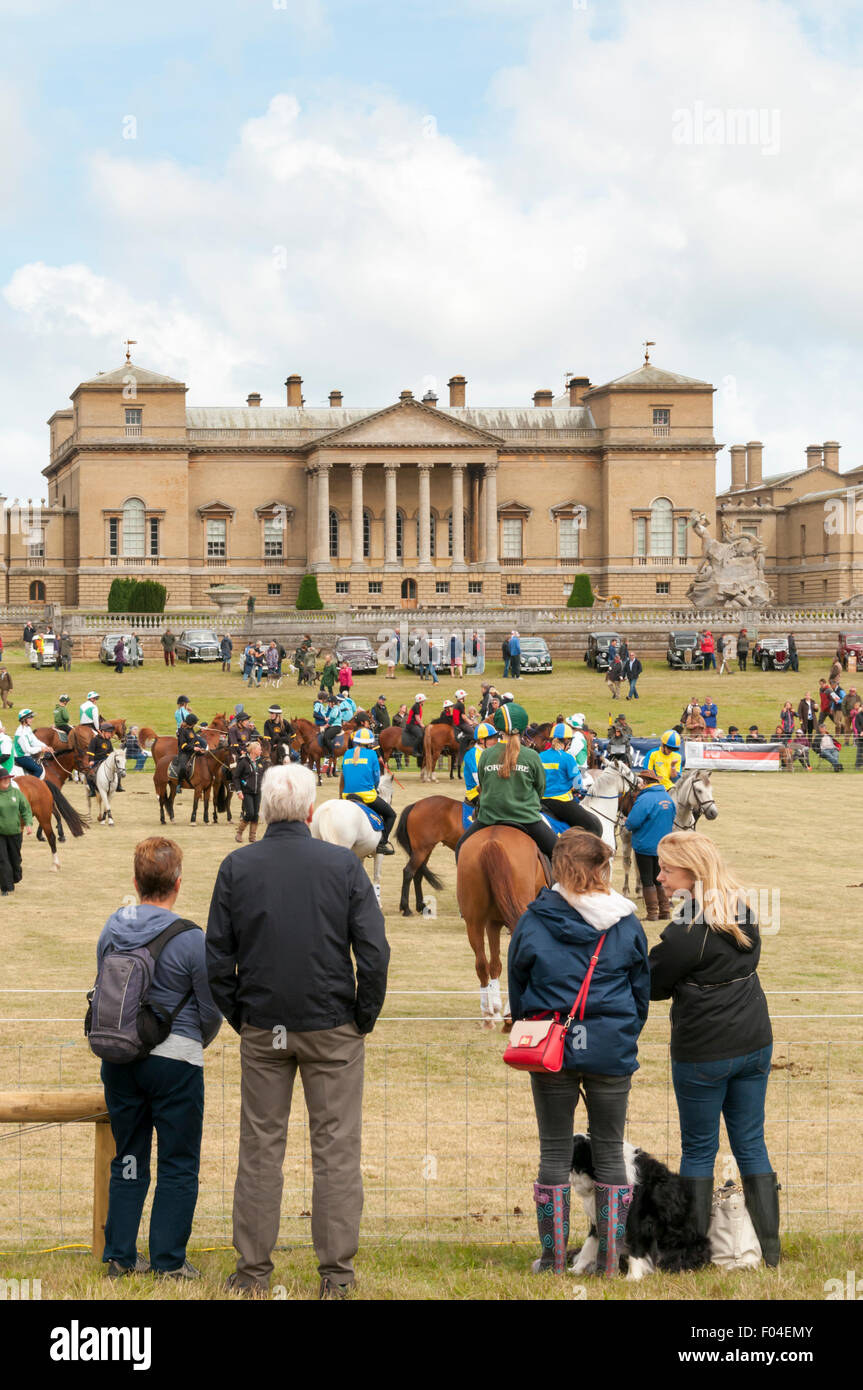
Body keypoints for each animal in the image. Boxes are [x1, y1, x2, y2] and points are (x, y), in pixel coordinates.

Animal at [450, 822, 544, 1034]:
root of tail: (492, 841)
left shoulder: (492, 923)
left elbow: (495, 964)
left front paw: (495, 1007)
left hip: (474, 921)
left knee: (481, 963)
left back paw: (488, 1015)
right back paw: (509, 1017)